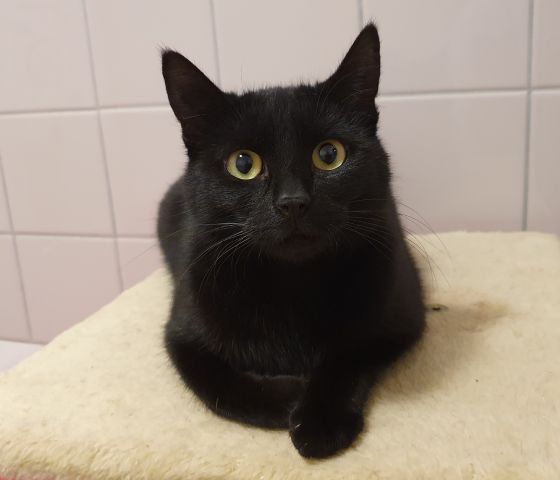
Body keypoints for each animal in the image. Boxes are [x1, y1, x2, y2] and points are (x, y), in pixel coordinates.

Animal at [158, 22, 425, 459]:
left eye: (329, 155)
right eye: (243, 164)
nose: (293, 202)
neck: (291, 283)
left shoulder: (399, 317)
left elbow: (348, 357)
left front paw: (319, 420)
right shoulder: (182, 337)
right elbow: (218, 387)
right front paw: (289, 399)